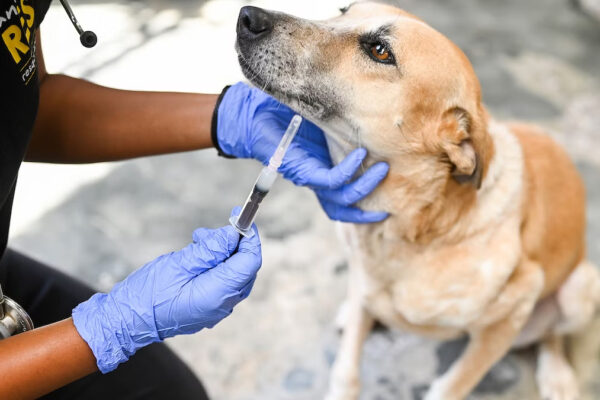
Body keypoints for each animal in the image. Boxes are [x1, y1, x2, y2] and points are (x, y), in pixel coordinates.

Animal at [234, 1, 600, 398]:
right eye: (343, 11)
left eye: (380, 51)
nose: (246, 16)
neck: (410, 228)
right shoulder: (363, 276)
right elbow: (346, 370)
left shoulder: (514, 309)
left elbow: (450, 385)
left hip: (580, 289)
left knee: (551, 335)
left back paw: (557, 374)